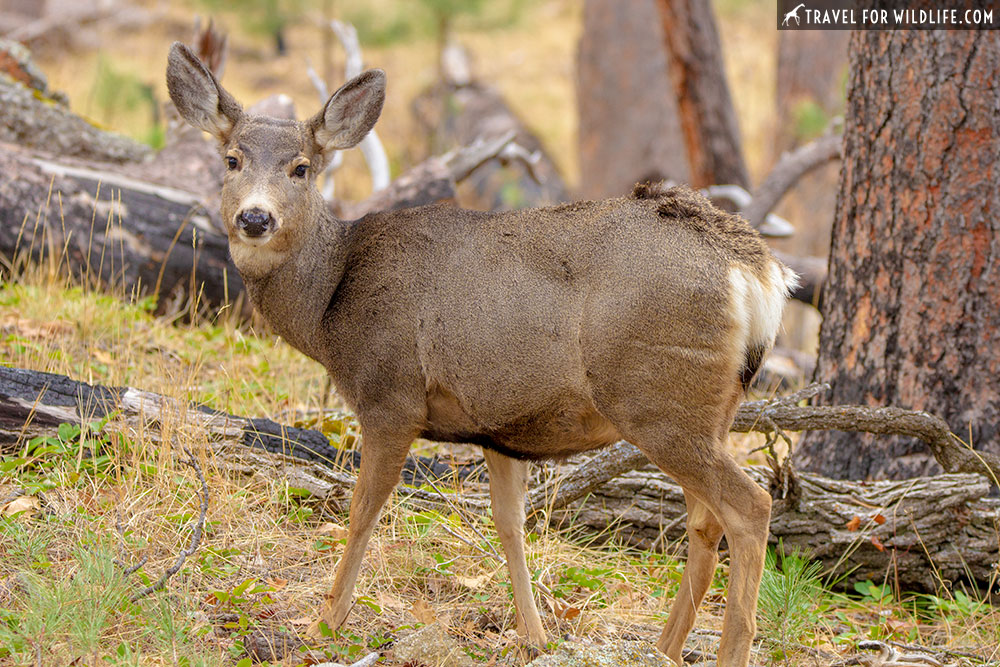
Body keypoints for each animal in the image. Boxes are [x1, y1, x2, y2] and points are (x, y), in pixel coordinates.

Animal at [168, 41, 796, 667]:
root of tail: (759, 273)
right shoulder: (502, 427)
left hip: (659, 397)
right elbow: (510, 524)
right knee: (704, 522)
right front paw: (534, 635)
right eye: (231, 160)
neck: (331, 302)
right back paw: (664, 648)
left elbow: (363, 509)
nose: (255, 218)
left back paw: (728, 648)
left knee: (750, 507)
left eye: (301, 167)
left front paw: (325, 622)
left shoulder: (390, 394)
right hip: (706, 409)